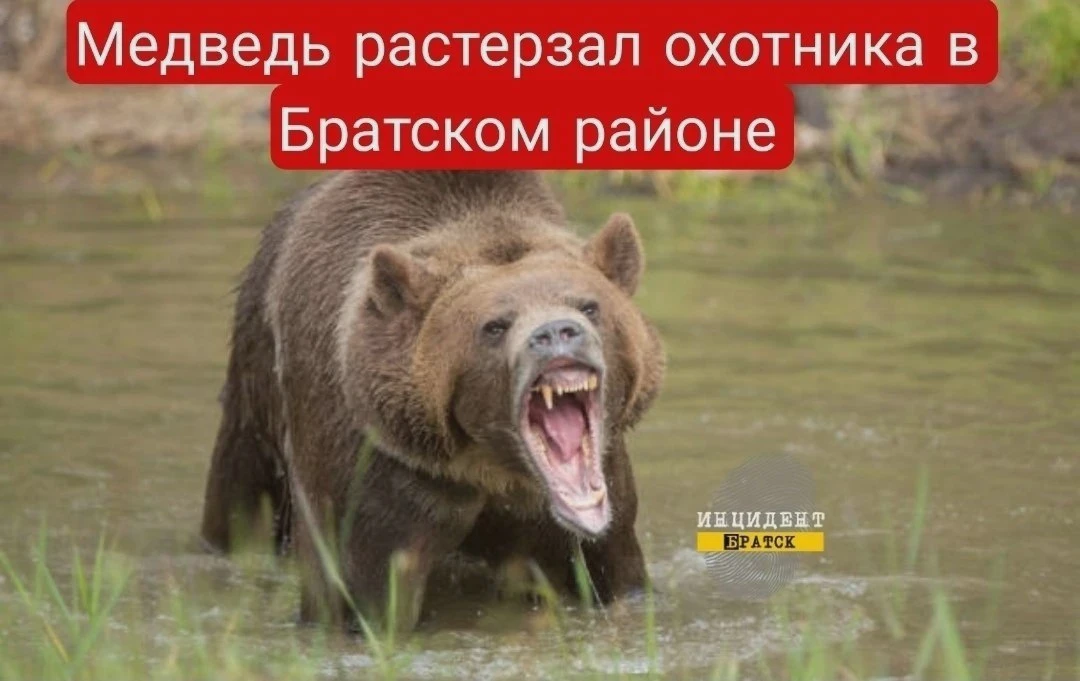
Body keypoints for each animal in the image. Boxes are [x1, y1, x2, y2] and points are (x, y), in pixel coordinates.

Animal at [198, 171, 665, 633]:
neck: (492, 464)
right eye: (494, 326)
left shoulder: (597, 498)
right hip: (257, 385)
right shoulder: (381, 471)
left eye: (589, 306)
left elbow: (614, 567)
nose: (555, 333)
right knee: (241, 493)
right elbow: (362, 588)